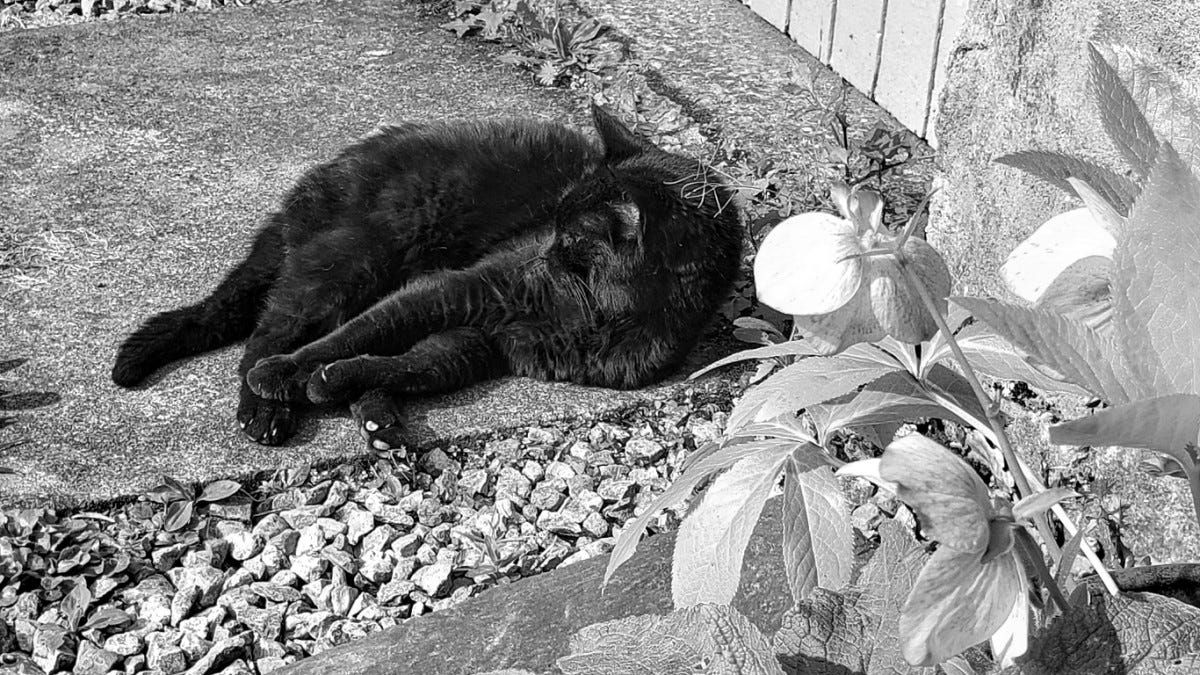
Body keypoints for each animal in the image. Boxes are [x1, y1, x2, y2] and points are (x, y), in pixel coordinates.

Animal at [117, 106, 744, 446]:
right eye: (556, 223)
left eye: (571, 238)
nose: (541, 252)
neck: (589, 309)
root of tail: (327, 171)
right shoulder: (458, 289)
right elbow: (360, 335)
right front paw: (291, 376)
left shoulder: (485, 343)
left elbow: (408, 365)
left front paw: (339, 382)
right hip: (350, 263)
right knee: (269, 332)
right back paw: (266, 402)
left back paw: (375, 420)